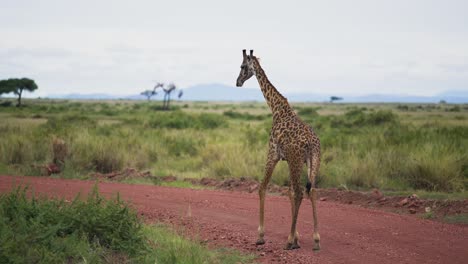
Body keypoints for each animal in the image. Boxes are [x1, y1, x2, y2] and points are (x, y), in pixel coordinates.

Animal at [236, 50, 320, 252]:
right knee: (312, 191)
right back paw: (315, 239)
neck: (276, 108)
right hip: (313, 160)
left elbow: (262, 188)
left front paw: (261, 236)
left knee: (300, 192)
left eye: (242, 66)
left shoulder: (272, 153)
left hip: (297, 161)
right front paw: (297, 237)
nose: (238, 81)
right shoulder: (288, 159)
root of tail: (312, 143)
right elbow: (289, 193)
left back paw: (288, 241)